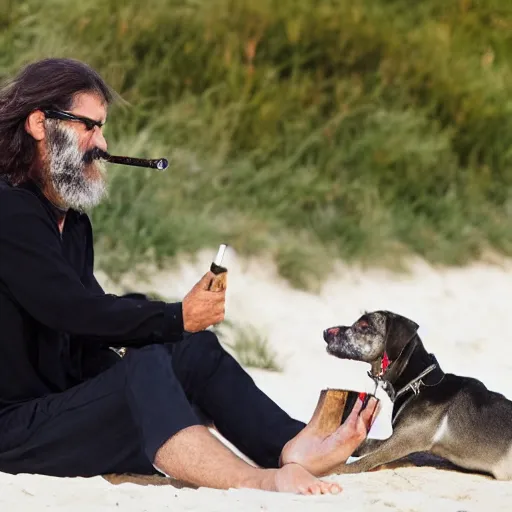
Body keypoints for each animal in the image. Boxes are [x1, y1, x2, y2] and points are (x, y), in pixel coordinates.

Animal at [324, 310, 512, 482]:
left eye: (364, 325)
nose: (326, 332)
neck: (417, 383)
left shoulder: (402, 440)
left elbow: (361, 462)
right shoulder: (395, 437)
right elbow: (364, 444)